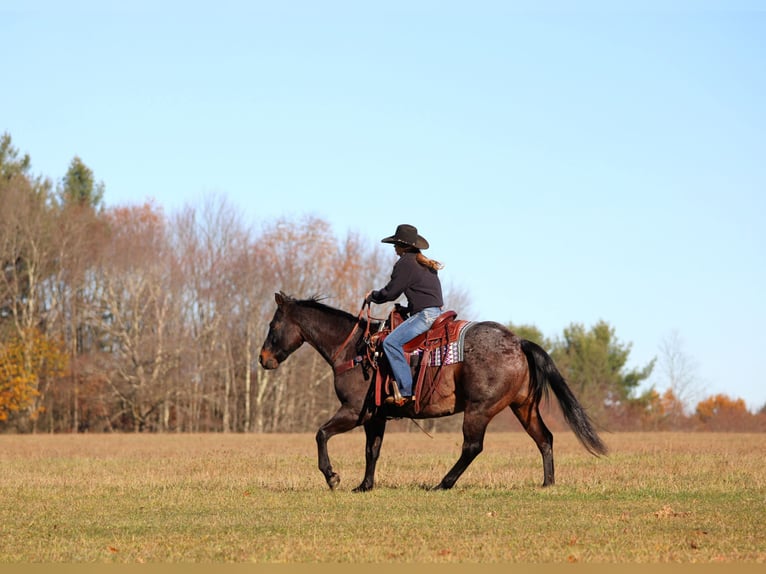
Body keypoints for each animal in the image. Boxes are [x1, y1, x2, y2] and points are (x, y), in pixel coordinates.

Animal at [258, 292, 607, 491]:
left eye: (273, 325)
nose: (263, 359)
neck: (356, 349)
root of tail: (518, 342)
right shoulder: (376, 417)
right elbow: (372, 451)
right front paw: (364, 486)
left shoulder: (354, 412)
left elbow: (321, 434)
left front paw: (332, 477)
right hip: (524, 407)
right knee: (544, 438)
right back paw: (547, 483)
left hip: (479, 410)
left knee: (472, 447)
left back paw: (443, 483)